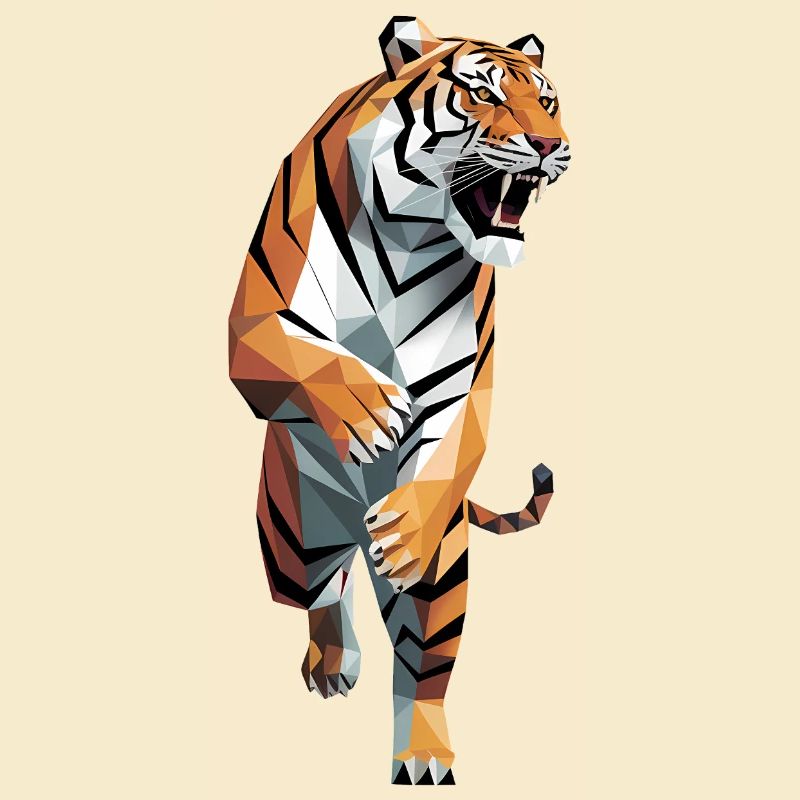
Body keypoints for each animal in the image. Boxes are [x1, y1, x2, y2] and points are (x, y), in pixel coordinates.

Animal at [228, 17, 570, 785]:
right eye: (482, 94)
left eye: (547, 101)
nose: (548, 145)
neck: (413, 237)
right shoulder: (253, 324)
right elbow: (301, 358)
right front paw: (369, 412)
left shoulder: (467, 379)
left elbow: (455, 439)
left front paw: (405, 527)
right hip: (290, 541)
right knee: (322, 593)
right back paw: (333, 663)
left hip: (445, 573)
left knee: (423, 670)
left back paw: (424, 757)